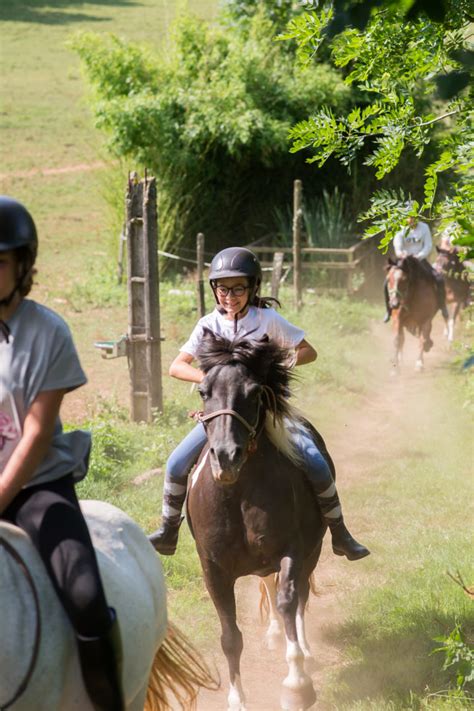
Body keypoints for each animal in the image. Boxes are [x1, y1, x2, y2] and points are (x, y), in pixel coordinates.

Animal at [186, 332, 334, 711]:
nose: (226, 456)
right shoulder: (213, 569)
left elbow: (288, 601)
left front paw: (297, 685)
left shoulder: (292, 550)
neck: (239, 494)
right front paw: (236, 700)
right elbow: (230, 637)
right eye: (203, 392)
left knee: (298, 597)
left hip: (311, 553)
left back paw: (303, 650)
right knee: (267, 585)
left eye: (254, 393)